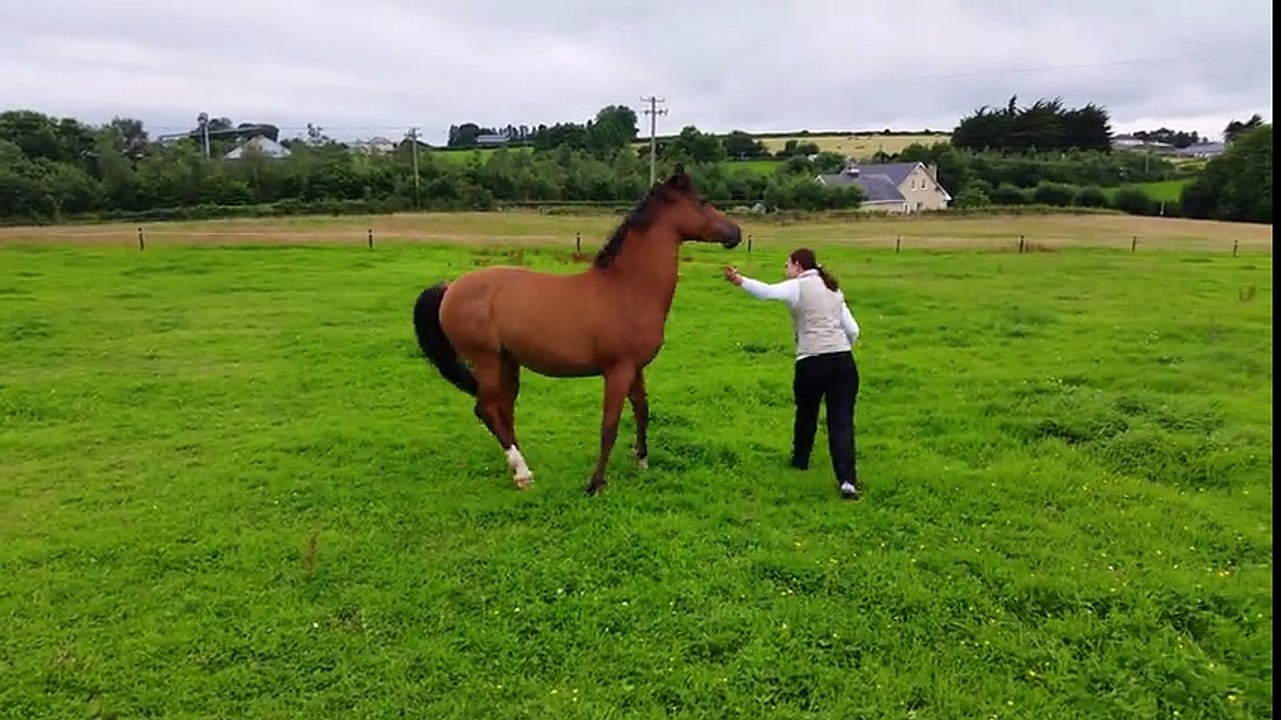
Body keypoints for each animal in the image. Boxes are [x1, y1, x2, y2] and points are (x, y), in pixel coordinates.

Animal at [412, 164, 743, 495]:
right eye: (702, 202)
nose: (735, 233)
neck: (627, 288)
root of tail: (450, 288)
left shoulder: (635, 368)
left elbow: (642, 410)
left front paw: (642, 461)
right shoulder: (618, 371)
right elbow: (609, 426)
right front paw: (595, 483)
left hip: (508, 362)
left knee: (504, 409)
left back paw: (519, 469)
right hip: (487, 360)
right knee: (488, 409)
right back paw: (523, 472)